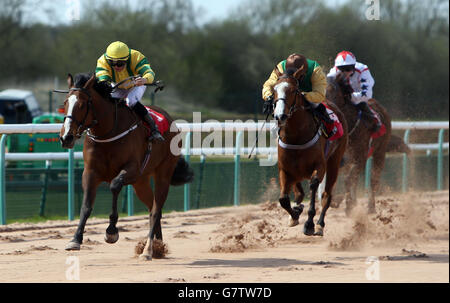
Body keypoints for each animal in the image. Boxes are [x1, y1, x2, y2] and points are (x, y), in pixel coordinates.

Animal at [59, 72, 193, 260]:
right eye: (65, 103)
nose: (66, 137)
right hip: (141, 183)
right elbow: (86, 206)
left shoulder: (132, 170)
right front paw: (75, 239)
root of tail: (170, 119)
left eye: (82, 104)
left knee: (156, 209)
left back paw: (148, 250)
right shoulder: (91, 172)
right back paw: (159, 247)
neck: (108, 132)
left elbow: (115, 185)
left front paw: (111, 231)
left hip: (163, 174)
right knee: (152, 206)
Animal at [270, 67, 348, 236]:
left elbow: (313, 186)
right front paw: (295, 214)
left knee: (326, 196)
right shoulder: (284, 169)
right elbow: (283, 199)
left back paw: (319, 224)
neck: (296, 136)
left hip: (334, 162)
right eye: (274, 90)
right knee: (299, 192)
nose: (280, 115)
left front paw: (309, 224)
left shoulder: (320, 166)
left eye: (293, 90)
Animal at [326, 73, 392, 216]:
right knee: (353, 179)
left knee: (373, 179)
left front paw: (346, 204)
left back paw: (371, 207)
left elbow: (348, 179)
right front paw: (341, 201)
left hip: (380, 151)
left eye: (334, 92)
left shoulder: (360, 156)